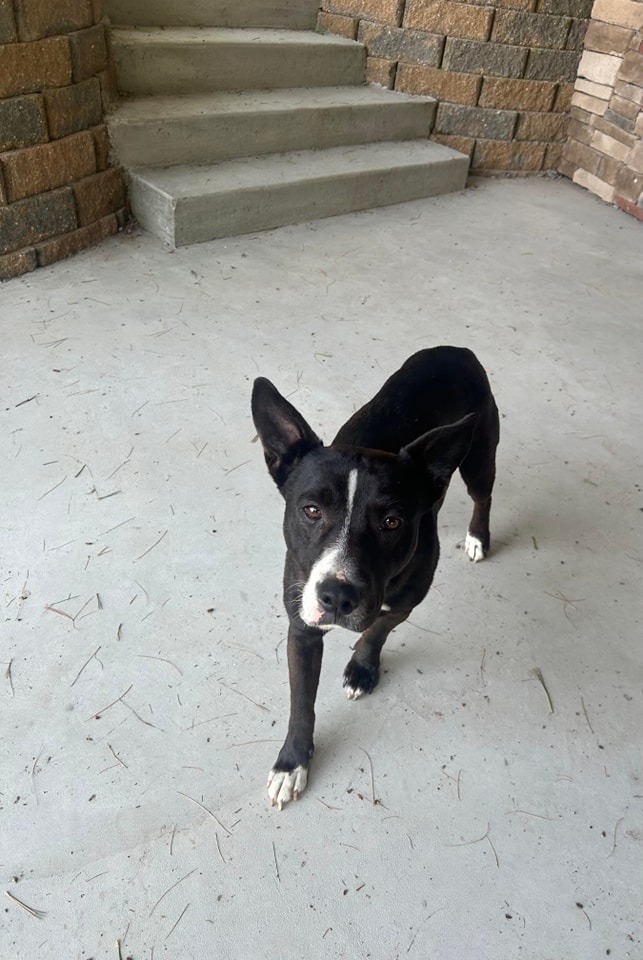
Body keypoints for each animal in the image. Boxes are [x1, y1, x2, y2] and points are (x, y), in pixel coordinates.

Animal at [250, 348, 498, 808]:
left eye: (391, 522)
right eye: (311, 510)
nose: (336, 596)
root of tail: (457, 350)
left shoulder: (408, 599)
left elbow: (378, 629)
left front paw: (361, 669)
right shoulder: (302, 624)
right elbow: (302, 702)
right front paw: (292, 763)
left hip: (479, 457)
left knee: (483, 494)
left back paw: (477, 536)